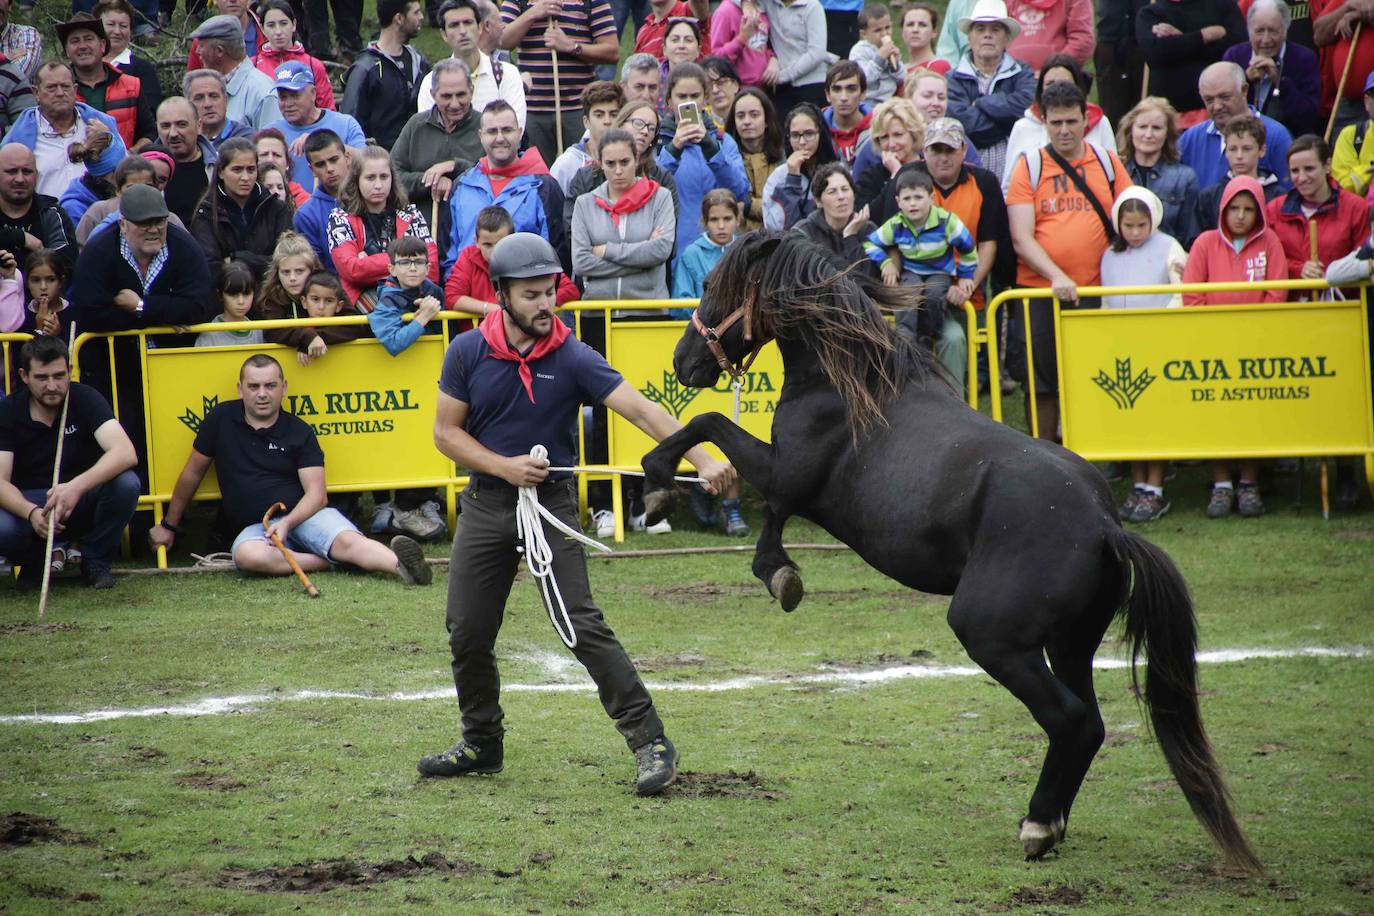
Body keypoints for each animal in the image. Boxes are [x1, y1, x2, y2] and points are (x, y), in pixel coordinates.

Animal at [637, 233, 1258, 873]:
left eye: (713, 286)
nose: (683, 361)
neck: (853, 383)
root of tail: (1106, 526)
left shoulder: (786, 473)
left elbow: (710, 427)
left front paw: (661, 491)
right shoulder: (788, 481)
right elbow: (742, 476)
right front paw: (773, 568)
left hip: (993, 637)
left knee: (1071, 720)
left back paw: (1038, 826)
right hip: (1068, 644)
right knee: (1089, 721)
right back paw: (1052, 823)